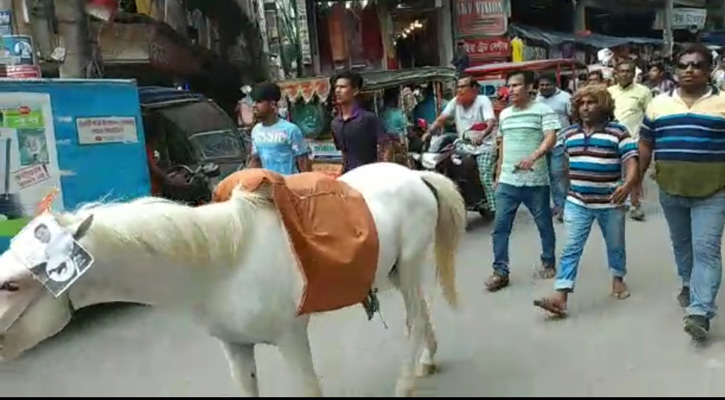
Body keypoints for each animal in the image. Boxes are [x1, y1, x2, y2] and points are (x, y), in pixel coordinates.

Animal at [0, 162, 466, 396]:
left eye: (13, 284)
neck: (225, 263)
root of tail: (414, 173)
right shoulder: (235, 347)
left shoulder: (291, 339)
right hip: (392, 271)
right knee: (420, 312)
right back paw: (426, 360)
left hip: (409, 263)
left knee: (414, 320)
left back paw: (405, 382)